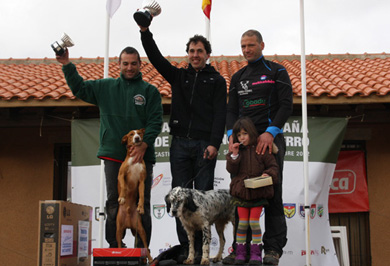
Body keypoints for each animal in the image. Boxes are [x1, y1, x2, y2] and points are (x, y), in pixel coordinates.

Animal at [114, 129, 152, 262]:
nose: (136, 138)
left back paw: (151, 260)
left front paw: (140, 206)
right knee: (119, 245)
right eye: (131, 134)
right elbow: (124, 187)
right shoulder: (121, 175)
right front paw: (122, 197)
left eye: (139, 133)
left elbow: (141, 195)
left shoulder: (142, 181)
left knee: (146, 247)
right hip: (118, 230)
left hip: (140, 229)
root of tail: (129, 223)